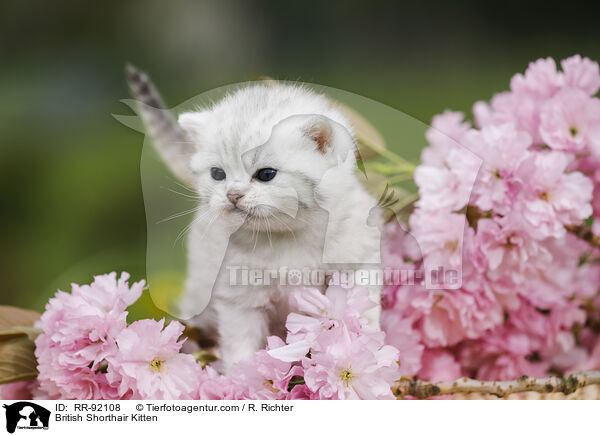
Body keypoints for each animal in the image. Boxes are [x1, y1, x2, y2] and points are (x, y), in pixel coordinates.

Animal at [125, 66, 384, 372]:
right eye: (218, 174)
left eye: (266, 174)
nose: (233, 195)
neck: (286, 238)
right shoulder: (239, 298)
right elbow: (241, 345)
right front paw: (241, 375)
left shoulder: (359, 262)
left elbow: (362, 315)